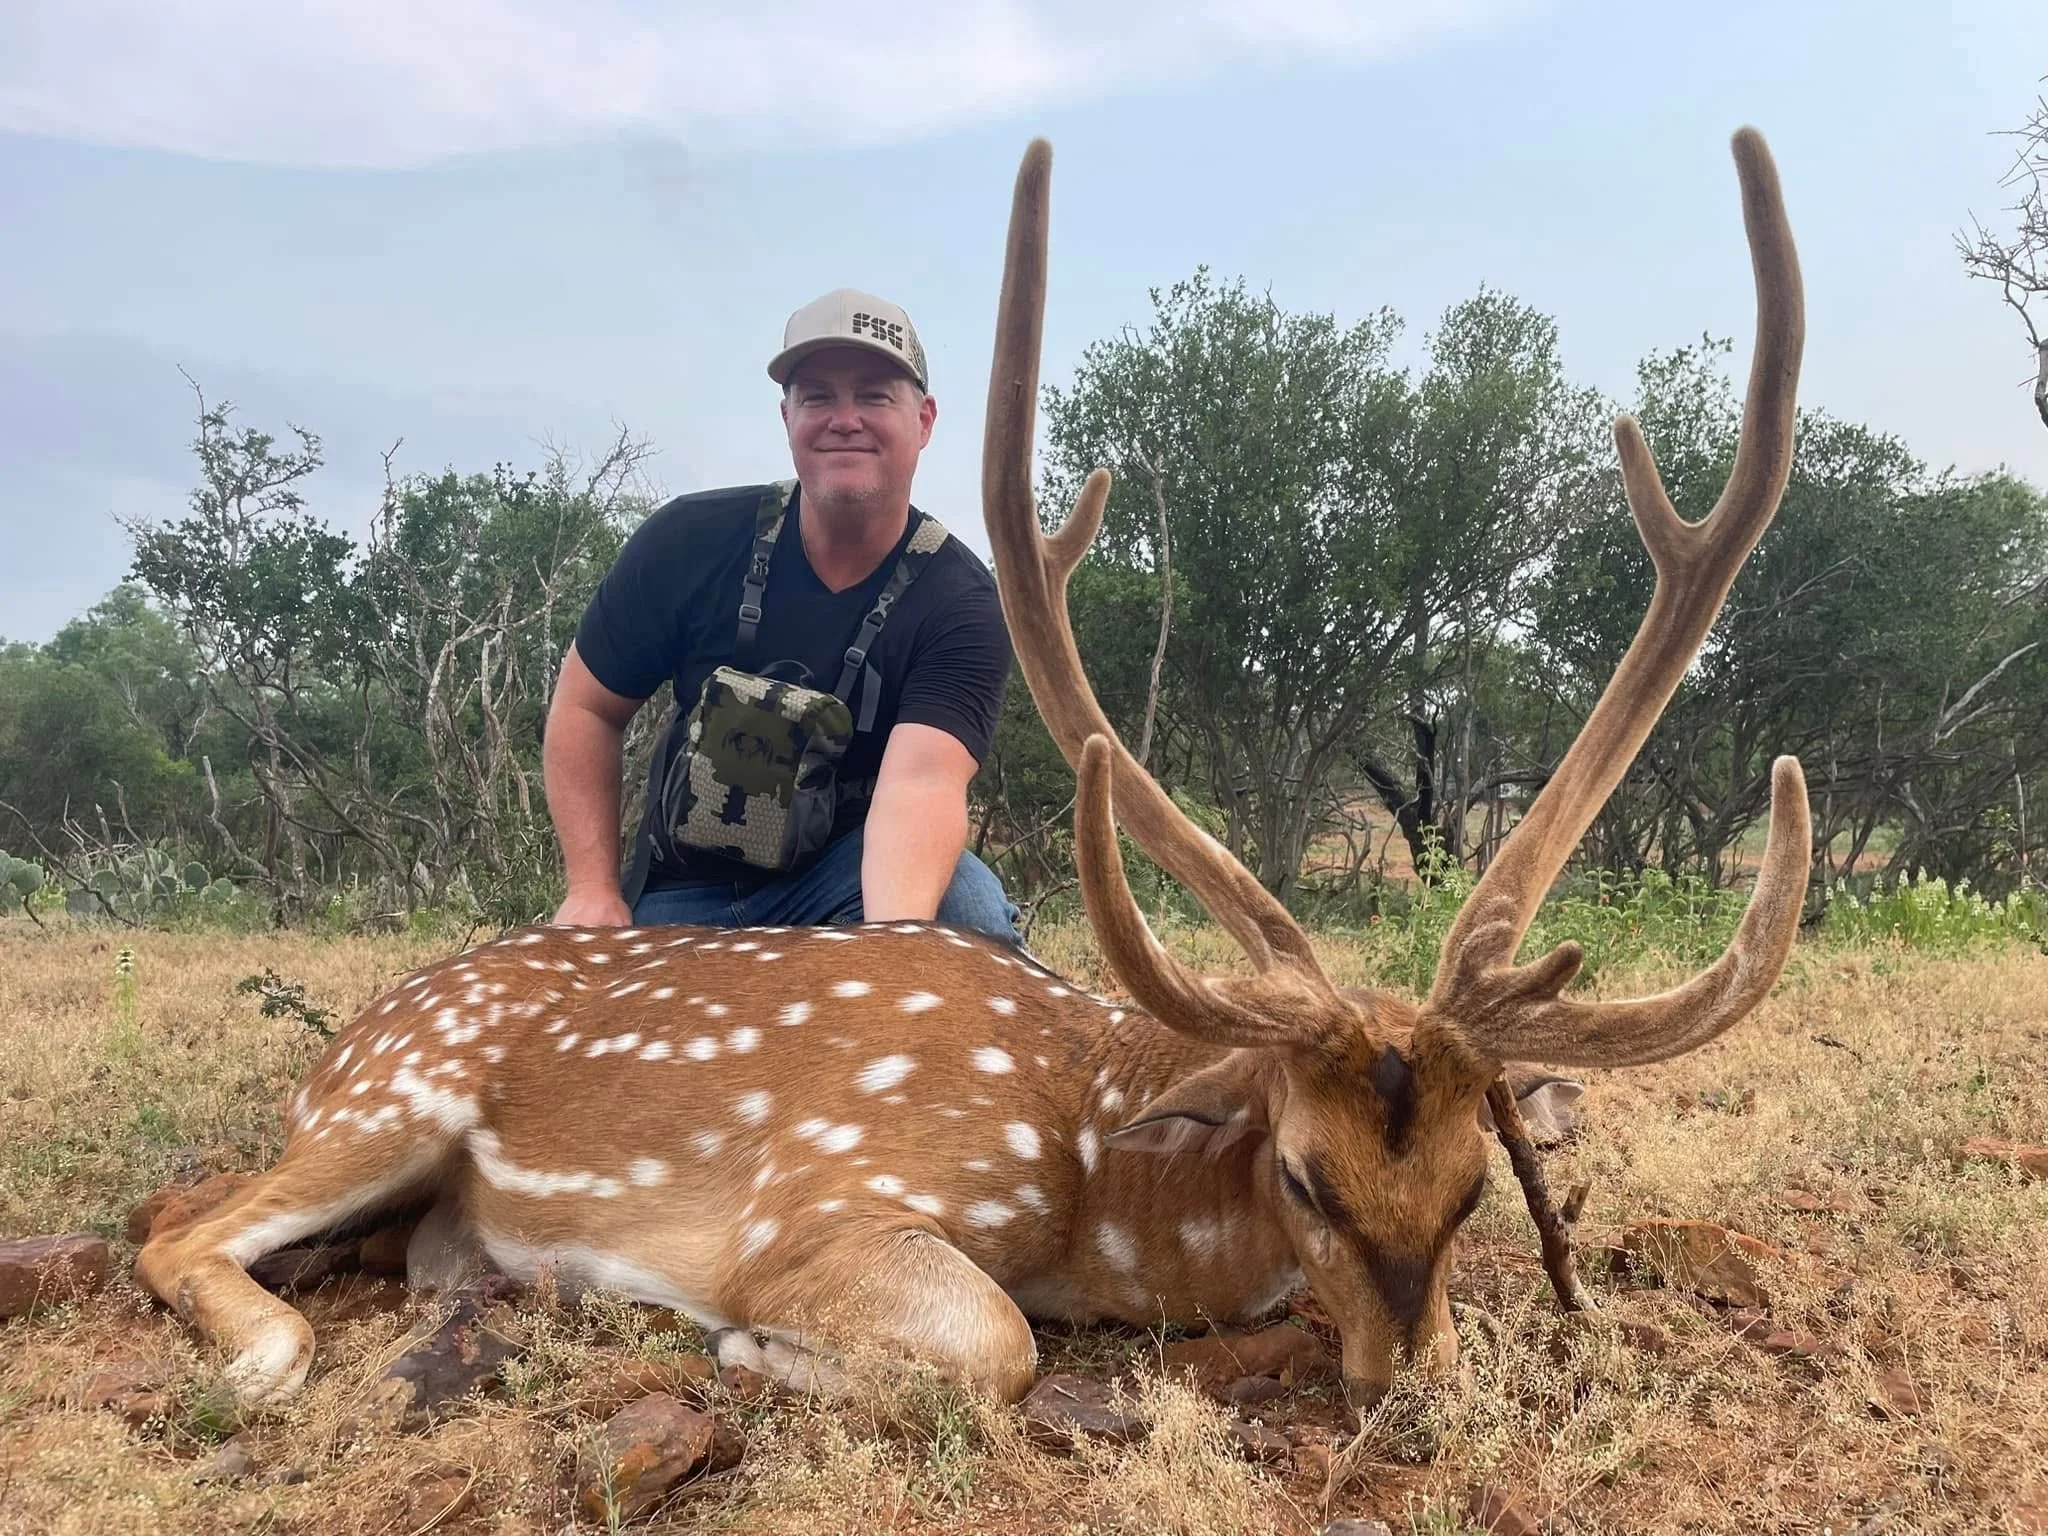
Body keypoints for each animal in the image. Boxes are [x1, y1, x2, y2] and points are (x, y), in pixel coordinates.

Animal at [136, 127, 1809, 1415]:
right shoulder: (814, 1203)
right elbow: (992, 1346)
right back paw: (270, 1354)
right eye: (1304, 1175)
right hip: (394, 1099)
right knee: (178, 1223)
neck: (1090, 1176)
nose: (1412, 1382)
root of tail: (353, 1033)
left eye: (1473, 1186)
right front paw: (749, 1348)